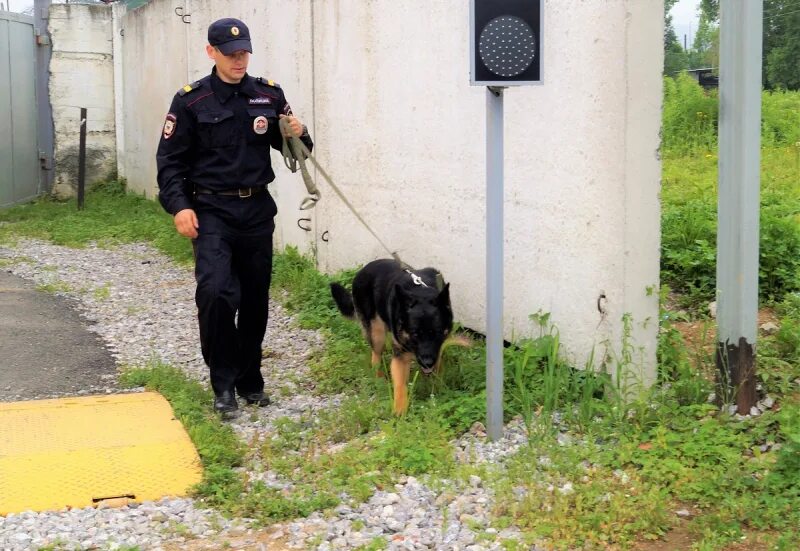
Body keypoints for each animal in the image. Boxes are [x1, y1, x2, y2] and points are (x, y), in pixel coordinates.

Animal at [332, 260, 454, 416]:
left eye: (437, 332)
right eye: (415, 334)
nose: (427, 363)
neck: (421, 293)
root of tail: (364, 269)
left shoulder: (437, 350)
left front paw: (436, 387)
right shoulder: (400, 357)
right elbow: (400, 385)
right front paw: (399, 411)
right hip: (376, 333)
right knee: (375, 357)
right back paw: (379, 378)